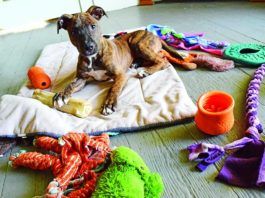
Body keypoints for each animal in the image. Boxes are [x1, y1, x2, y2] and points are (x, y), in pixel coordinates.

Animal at [53, 5, 187, 114]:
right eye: (74, 31)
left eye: (93, 26)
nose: (88, 47)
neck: (93, 57)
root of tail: (153, 34)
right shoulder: (81, 78)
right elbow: (70, 85)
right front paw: (61, 95)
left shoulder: (120, 75)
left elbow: (114, 88)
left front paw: (109, 104)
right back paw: (136, 64)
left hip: (138, 43)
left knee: (163, 60)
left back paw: (146, 71)